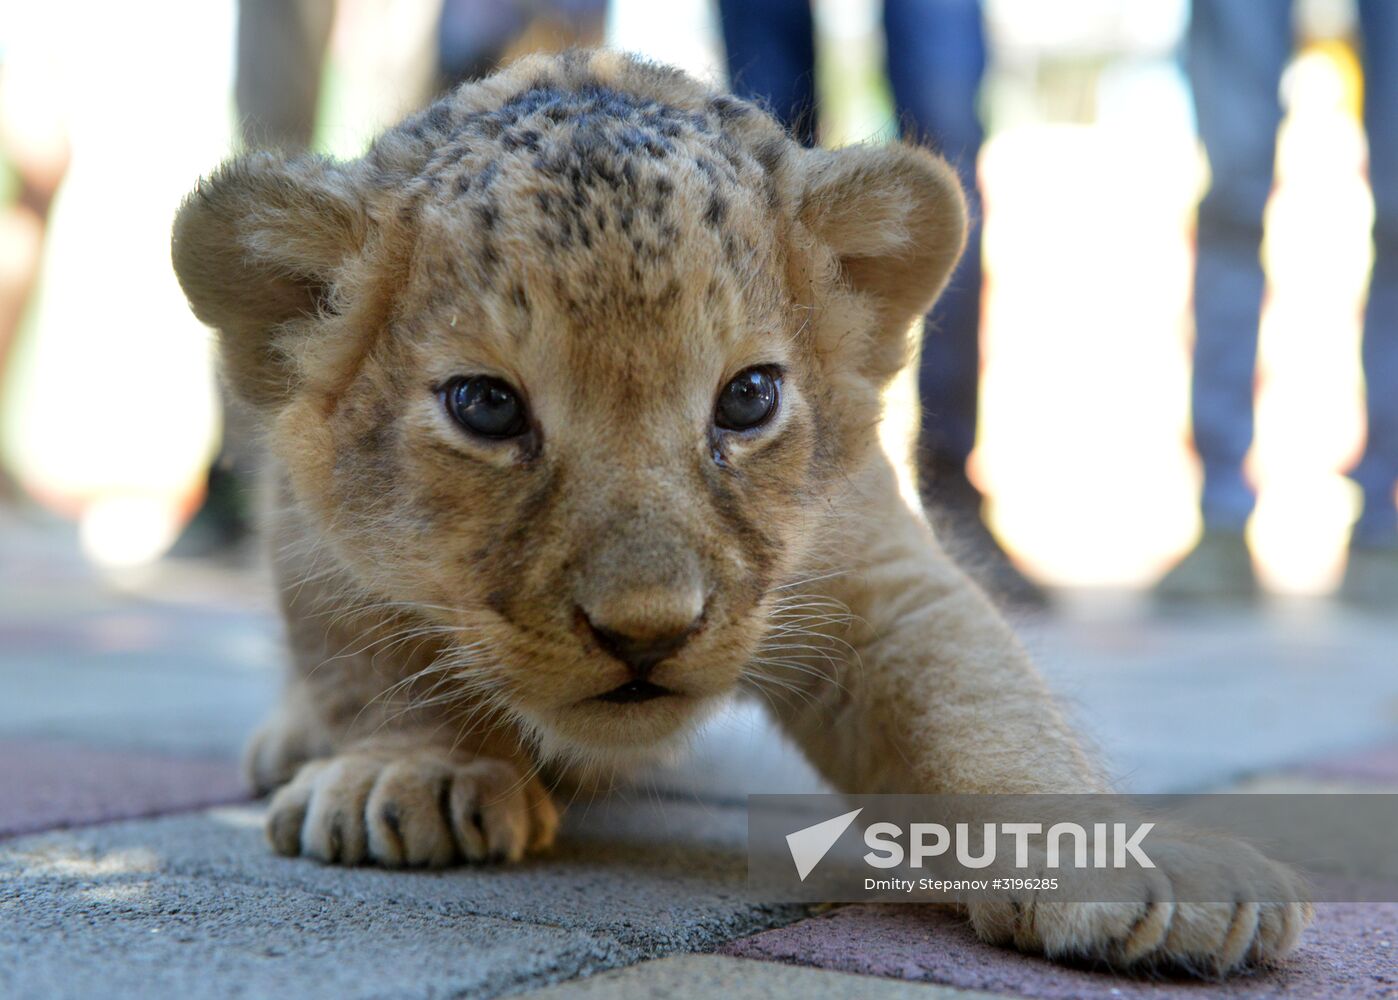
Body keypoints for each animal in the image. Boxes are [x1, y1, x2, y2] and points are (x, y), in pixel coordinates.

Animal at [171, 50, 1310, 975]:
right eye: (485, 406)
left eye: (750, 397)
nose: (645, 632)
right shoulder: (310, 516)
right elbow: (365, 650)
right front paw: (411, 771)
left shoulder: (872, 572)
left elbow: (986, 702)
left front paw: (1134, 871)